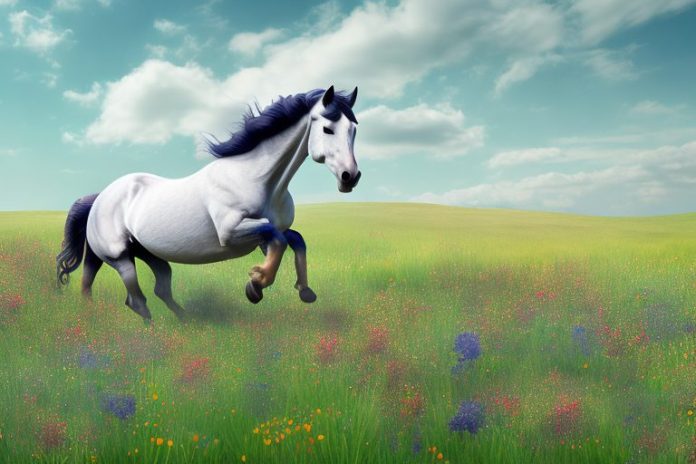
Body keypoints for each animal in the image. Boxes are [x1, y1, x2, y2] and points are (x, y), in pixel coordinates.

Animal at [56, 86, 361, 323]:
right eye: (327, 129)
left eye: (354, 130)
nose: (350, 177)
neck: (258, 179)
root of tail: (98, 199)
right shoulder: (231, 231)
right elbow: (279, 239)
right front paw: (256, 284)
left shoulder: (268, 233)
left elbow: (294, 240)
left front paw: (304, 291)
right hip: (120, 257)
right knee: (136, 300)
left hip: (148, 253)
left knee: (148, 288)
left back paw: (186, 321)